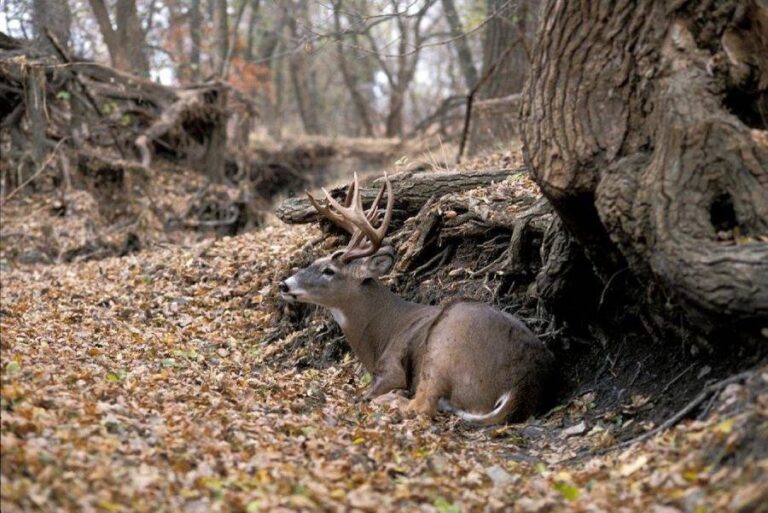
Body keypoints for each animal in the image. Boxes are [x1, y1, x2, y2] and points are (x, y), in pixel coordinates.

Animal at [279, 173, 554, 425]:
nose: (284, 284)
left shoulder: (391, 369)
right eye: (315, 261)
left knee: (421, 405)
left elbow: (365, 395)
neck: (379, 332)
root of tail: (519, 387)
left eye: (329, 271)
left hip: (444, 347)